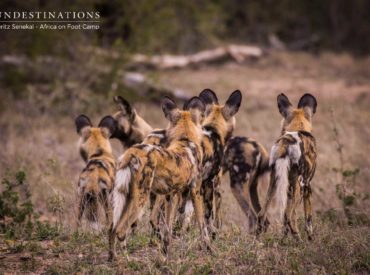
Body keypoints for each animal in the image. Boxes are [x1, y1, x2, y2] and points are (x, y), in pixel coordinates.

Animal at [108, 97, 210, 260]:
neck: (185, 140)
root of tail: (132, 152)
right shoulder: (195, 192)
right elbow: (202, 226)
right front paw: (209, 249)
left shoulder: (171, 197)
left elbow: (167, 230)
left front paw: (165, 253)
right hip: (140, 200)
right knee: (121, 231)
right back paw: (128, 260)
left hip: (127, 198)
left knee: (112, 228)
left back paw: (113, 258)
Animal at [258, 94, 318, 240]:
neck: (298, 126)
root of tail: (285, 144)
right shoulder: (308, 185)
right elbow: (308, 219)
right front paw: (311, 239)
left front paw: (283, 239)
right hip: (299, 186)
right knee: (289, 216)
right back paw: (299, 240)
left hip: (275, 182)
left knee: (262, 214)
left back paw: (257, 241)